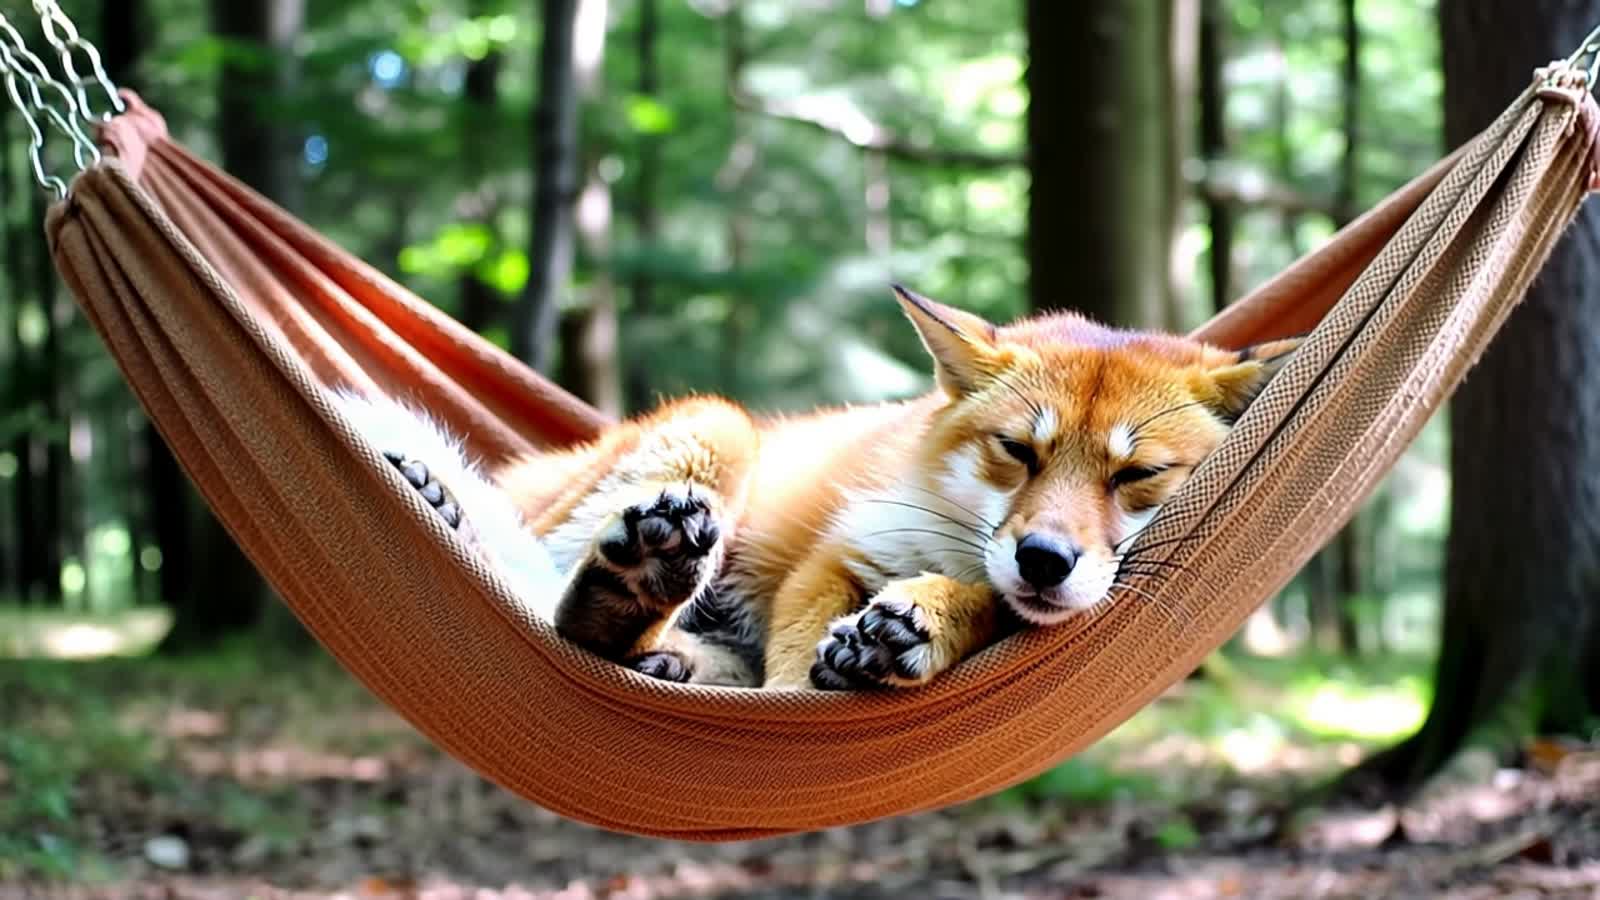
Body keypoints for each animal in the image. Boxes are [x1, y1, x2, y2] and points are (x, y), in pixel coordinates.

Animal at [337, 286, 1300, 690]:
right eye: (1018, 453)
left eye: (1135, 474)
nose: (1043, 558)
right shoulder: (834, 555)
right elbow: (792, 680)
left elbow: (990, 607)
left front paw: (921, 624)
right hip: (715, 432)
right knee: (543, 589)